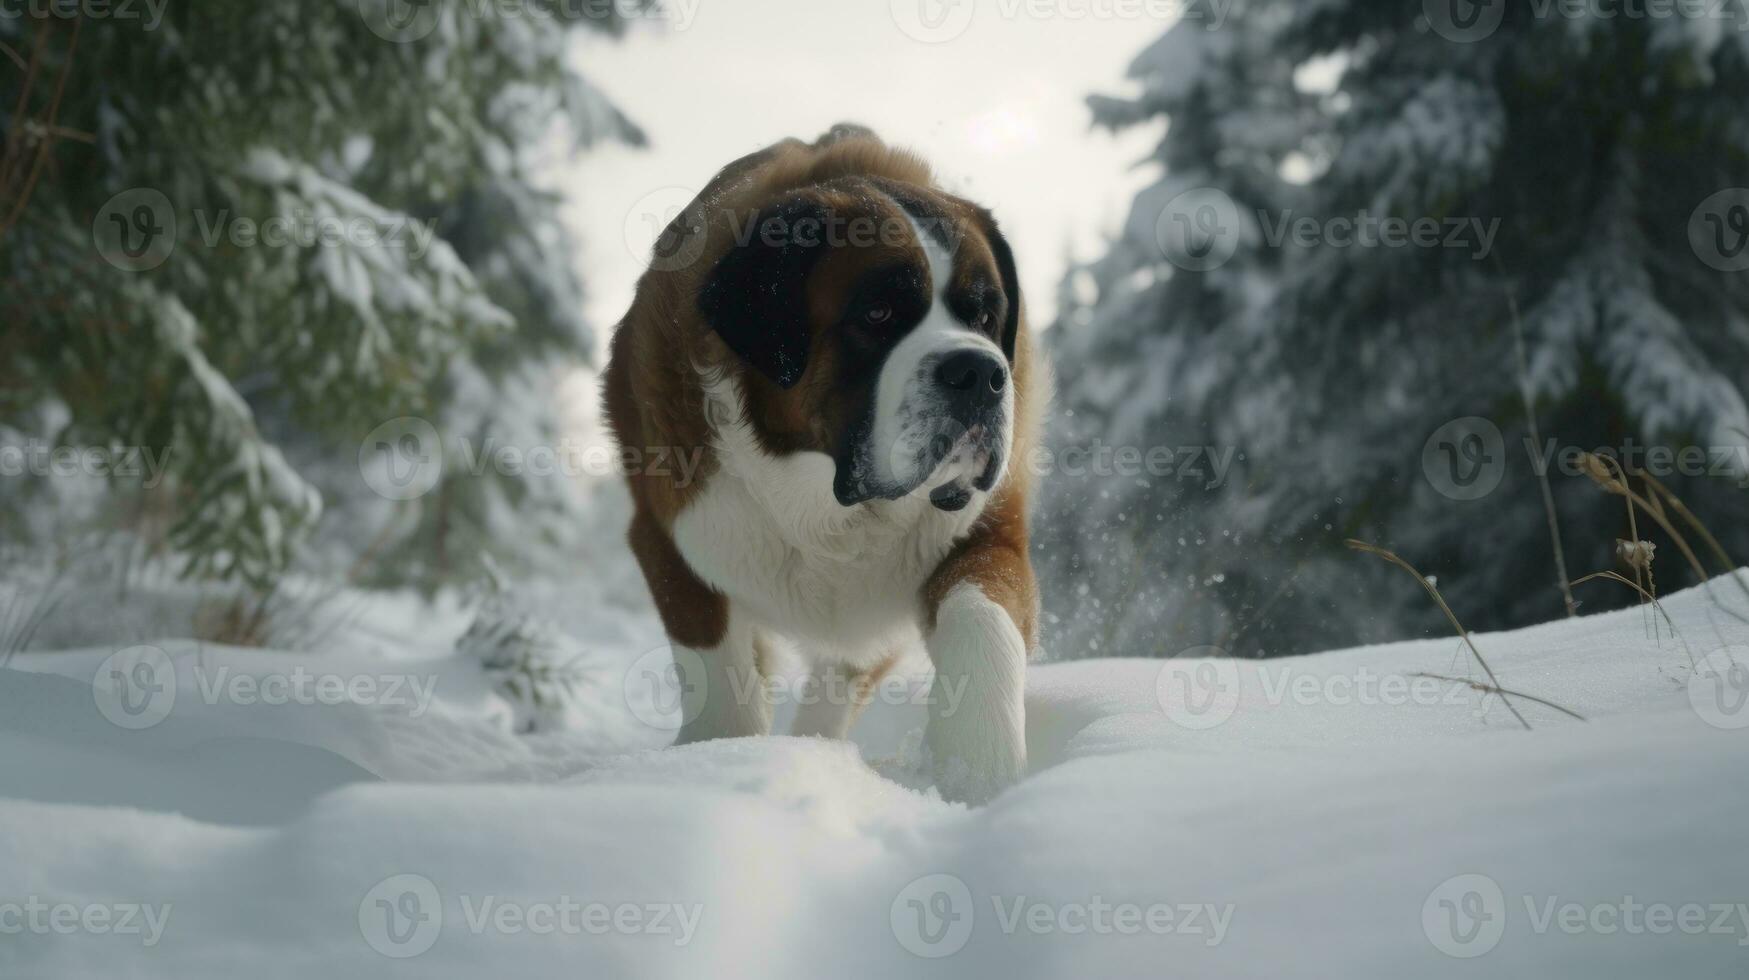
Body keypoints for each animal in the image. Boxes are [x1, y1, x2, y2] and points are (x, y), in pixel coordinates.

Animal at [601, 122, 1042, 805]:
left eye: (985, 316)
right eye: (877, 313)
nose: (980, 372)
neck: (829, 505)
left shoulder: (985, 530)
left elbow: (981, 618)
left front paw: (979, 767)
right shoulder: (668, 537)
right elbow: (717, 673)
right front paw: (715, 760)